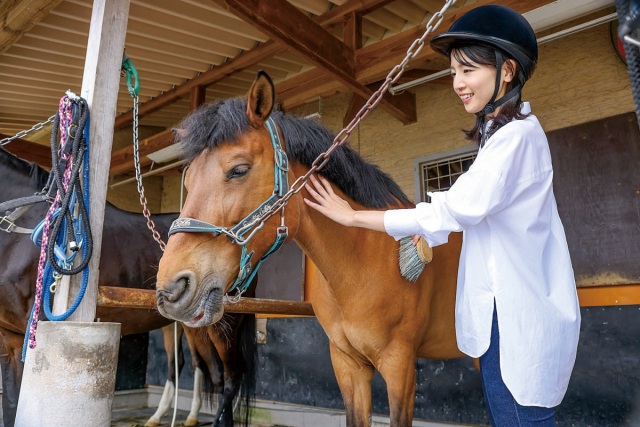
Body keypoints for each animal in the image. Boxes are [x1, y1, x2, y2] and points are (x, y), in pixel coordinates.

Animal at [0, 145, 255, 427]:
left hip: (223, 326)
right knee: (195, 368)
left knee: (229, 377)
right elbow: (11, 404)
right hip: (187, 325)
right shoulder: (10, 340)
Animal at [155, 70, 464, 426]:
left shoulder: (400, 365)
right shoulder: (347, 364)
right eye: (187, 180)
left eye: (239, 169)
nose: (172, 289)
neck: (364, 262)